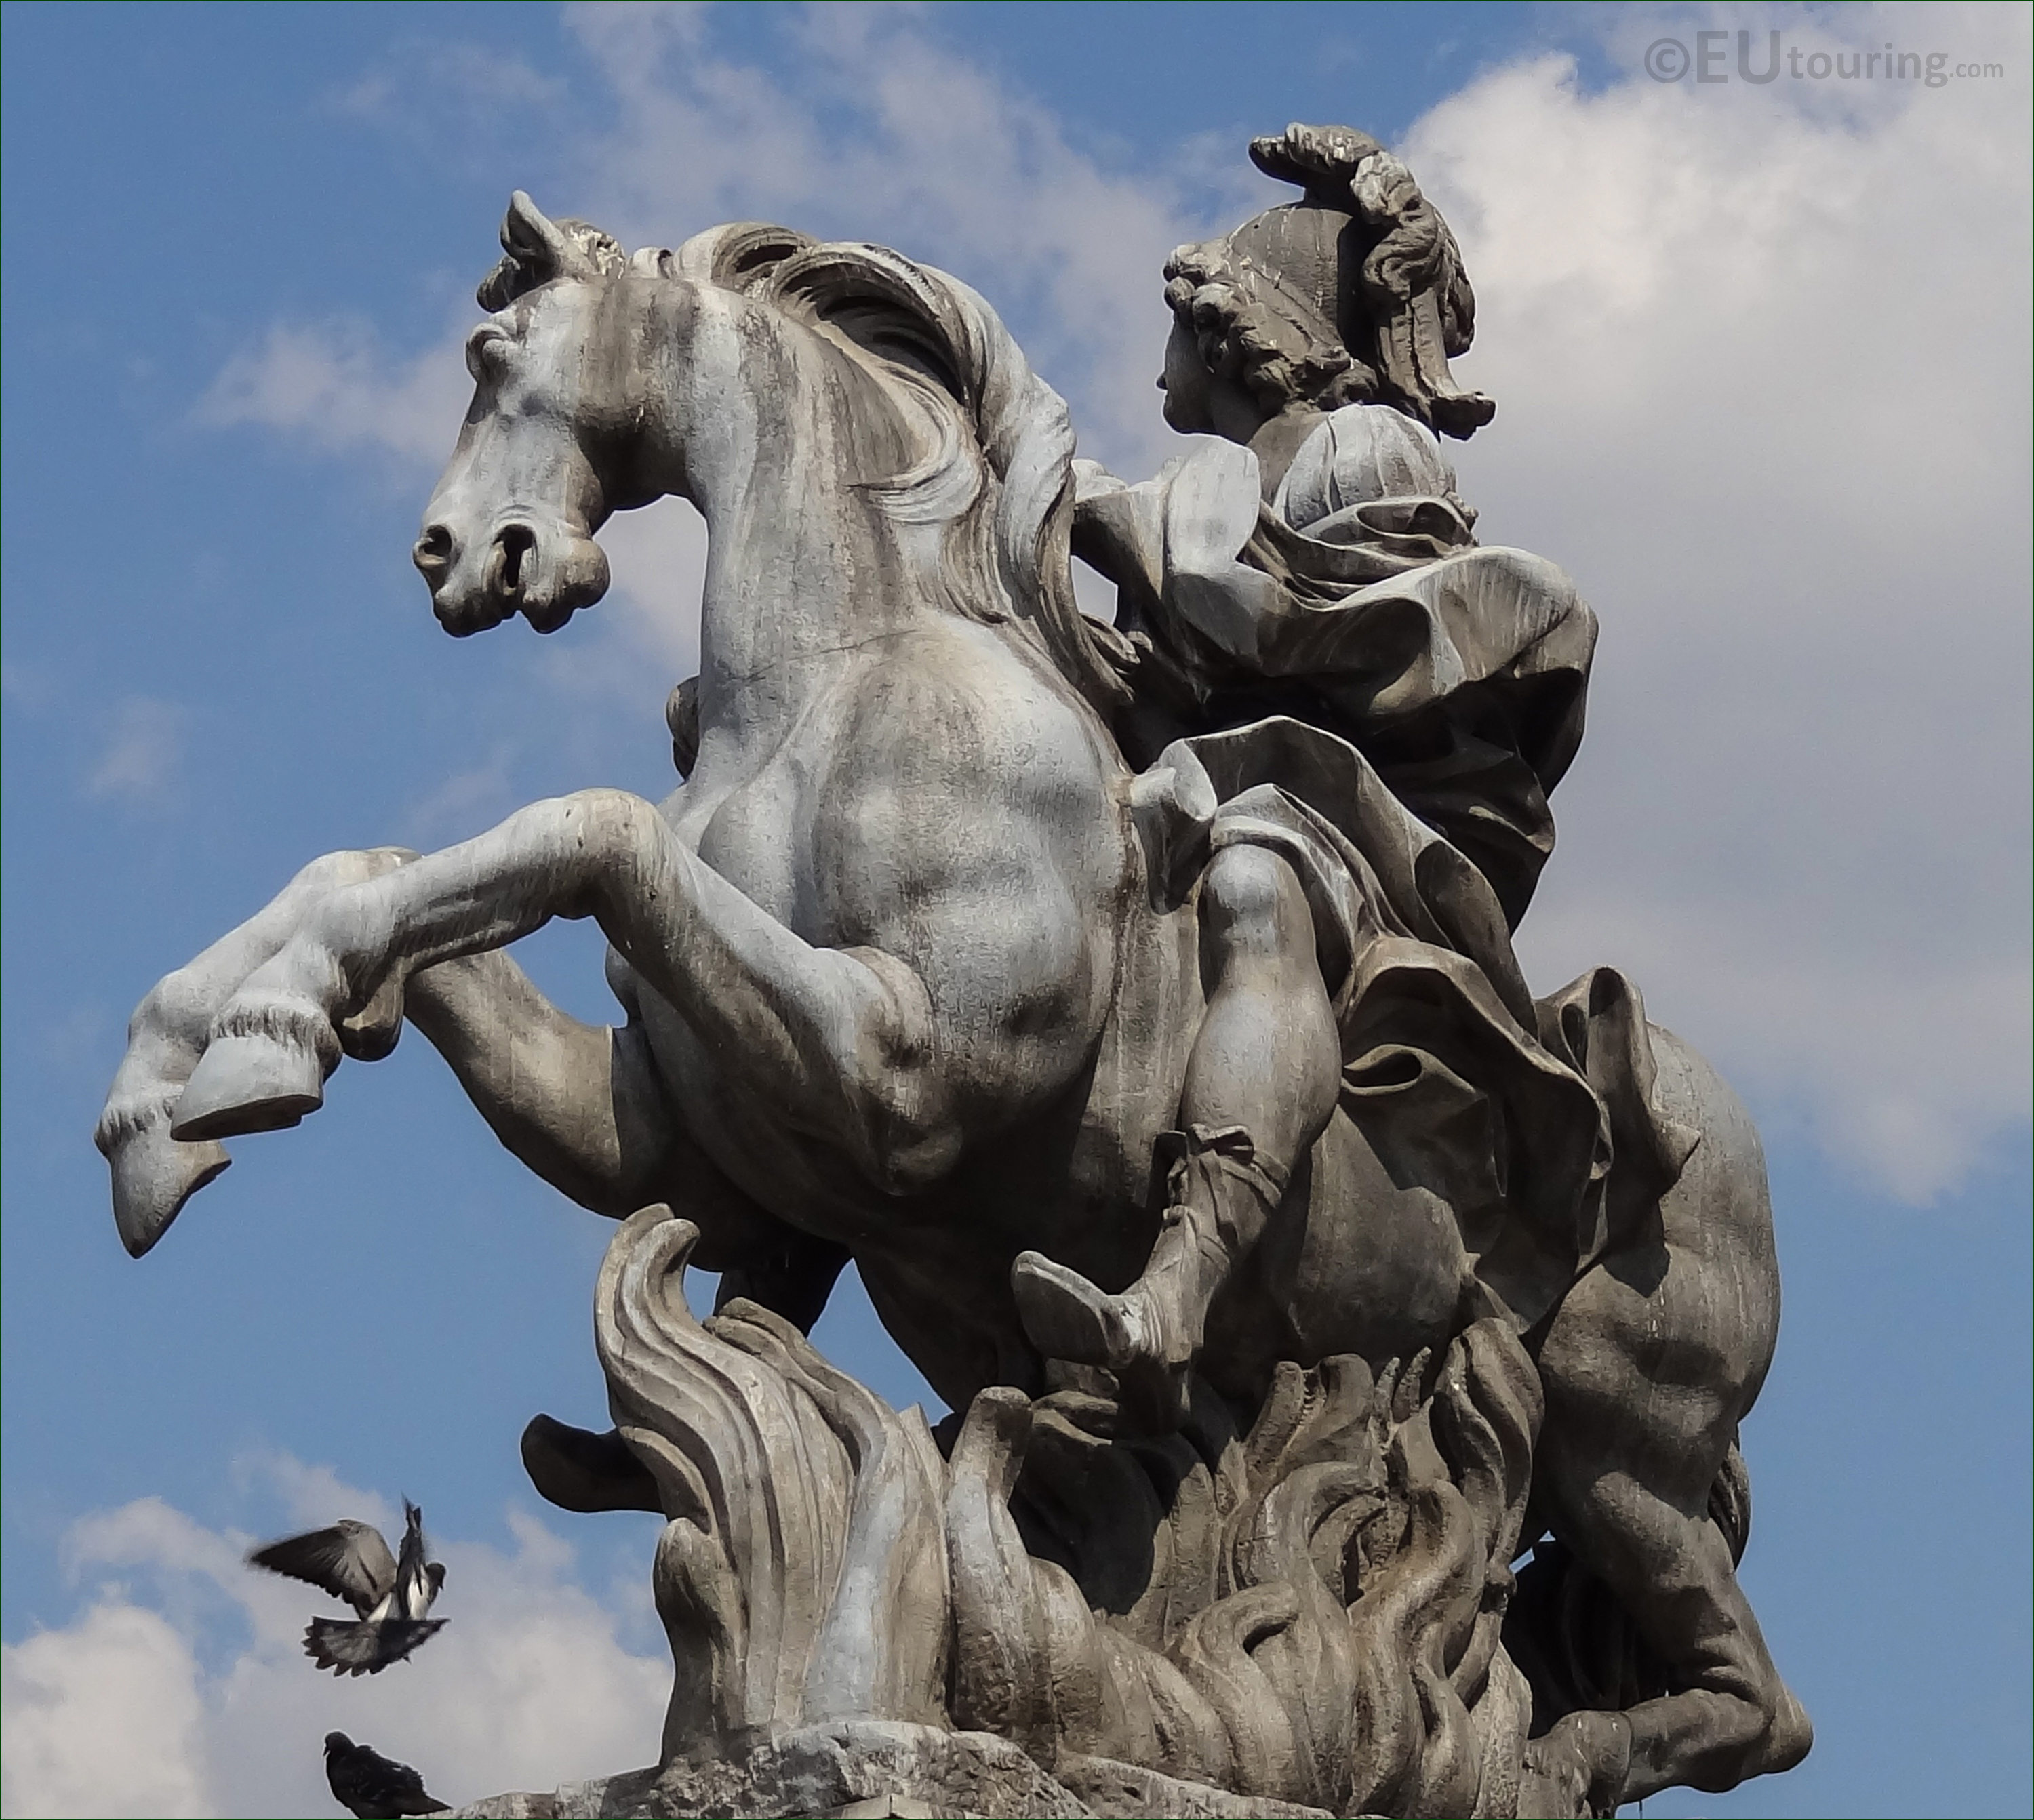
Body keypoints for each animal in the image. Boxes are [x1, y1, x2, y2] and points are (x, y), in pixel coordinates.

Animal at [99, 192, 1814, 1814]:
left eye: (489, 351)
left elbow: (589, 826)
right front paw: (187, 1082)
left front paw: (242, 1049)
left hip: (1625, 1441)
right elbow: (415, 869)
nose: (455, 555)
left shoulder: (907, 1067)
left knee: (1758, 1704)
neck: (844, 681)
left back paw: (1543, 1751)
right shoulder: (672, 1142)